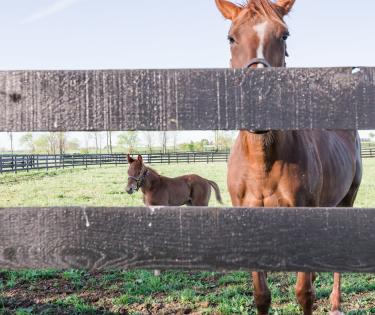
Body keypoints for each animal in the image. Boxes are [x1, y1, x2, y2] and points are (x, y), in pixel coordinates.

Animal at [217, 0, 364, 315]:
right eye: (231, 37)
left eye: (284, 35)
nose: (258, 101)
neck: (262, 163)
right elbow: (261, 294)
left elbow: (304, 293)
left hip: (347, 200)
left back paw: (335, 304)